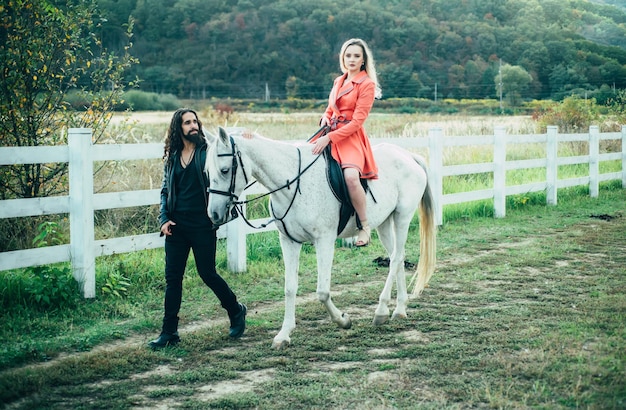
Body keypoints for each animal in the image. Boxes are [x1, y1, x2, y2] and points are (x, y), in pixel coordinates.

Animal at [205, 128, 434, 350]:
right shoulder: (289, 241)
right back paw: (399, 309)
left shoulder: (324, 240)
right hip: (384, 223)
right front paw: (283, 335)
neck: (293, 182)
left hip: (402, 217)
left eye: (225, 170)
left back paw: (381, 311)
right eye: (207, 172)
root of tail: (408, 155)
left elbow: (322, 291)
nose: (214, 214)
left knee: (395, 259)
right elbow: (289, 288)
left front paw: (343, 320)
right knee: (398, 257)